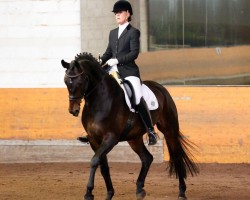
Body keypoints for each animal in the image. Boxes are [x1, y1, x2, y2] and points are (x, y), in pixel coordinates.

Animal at [60, 52, 197, 199]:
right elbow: (103, 166)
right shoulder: (93, 140)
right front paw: (109, 193)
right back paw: (140, 190)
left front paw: (89, 193)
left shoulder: (110, 139)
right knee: (147, 158)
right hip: (134, 138)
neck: (99, 102)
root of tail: (160, 87)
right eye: (65, 81)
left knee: (177, 157)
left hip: (169, 130)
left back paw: (182, 192)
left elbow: (94, 161)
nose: (73, 110)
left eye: (80, 82)